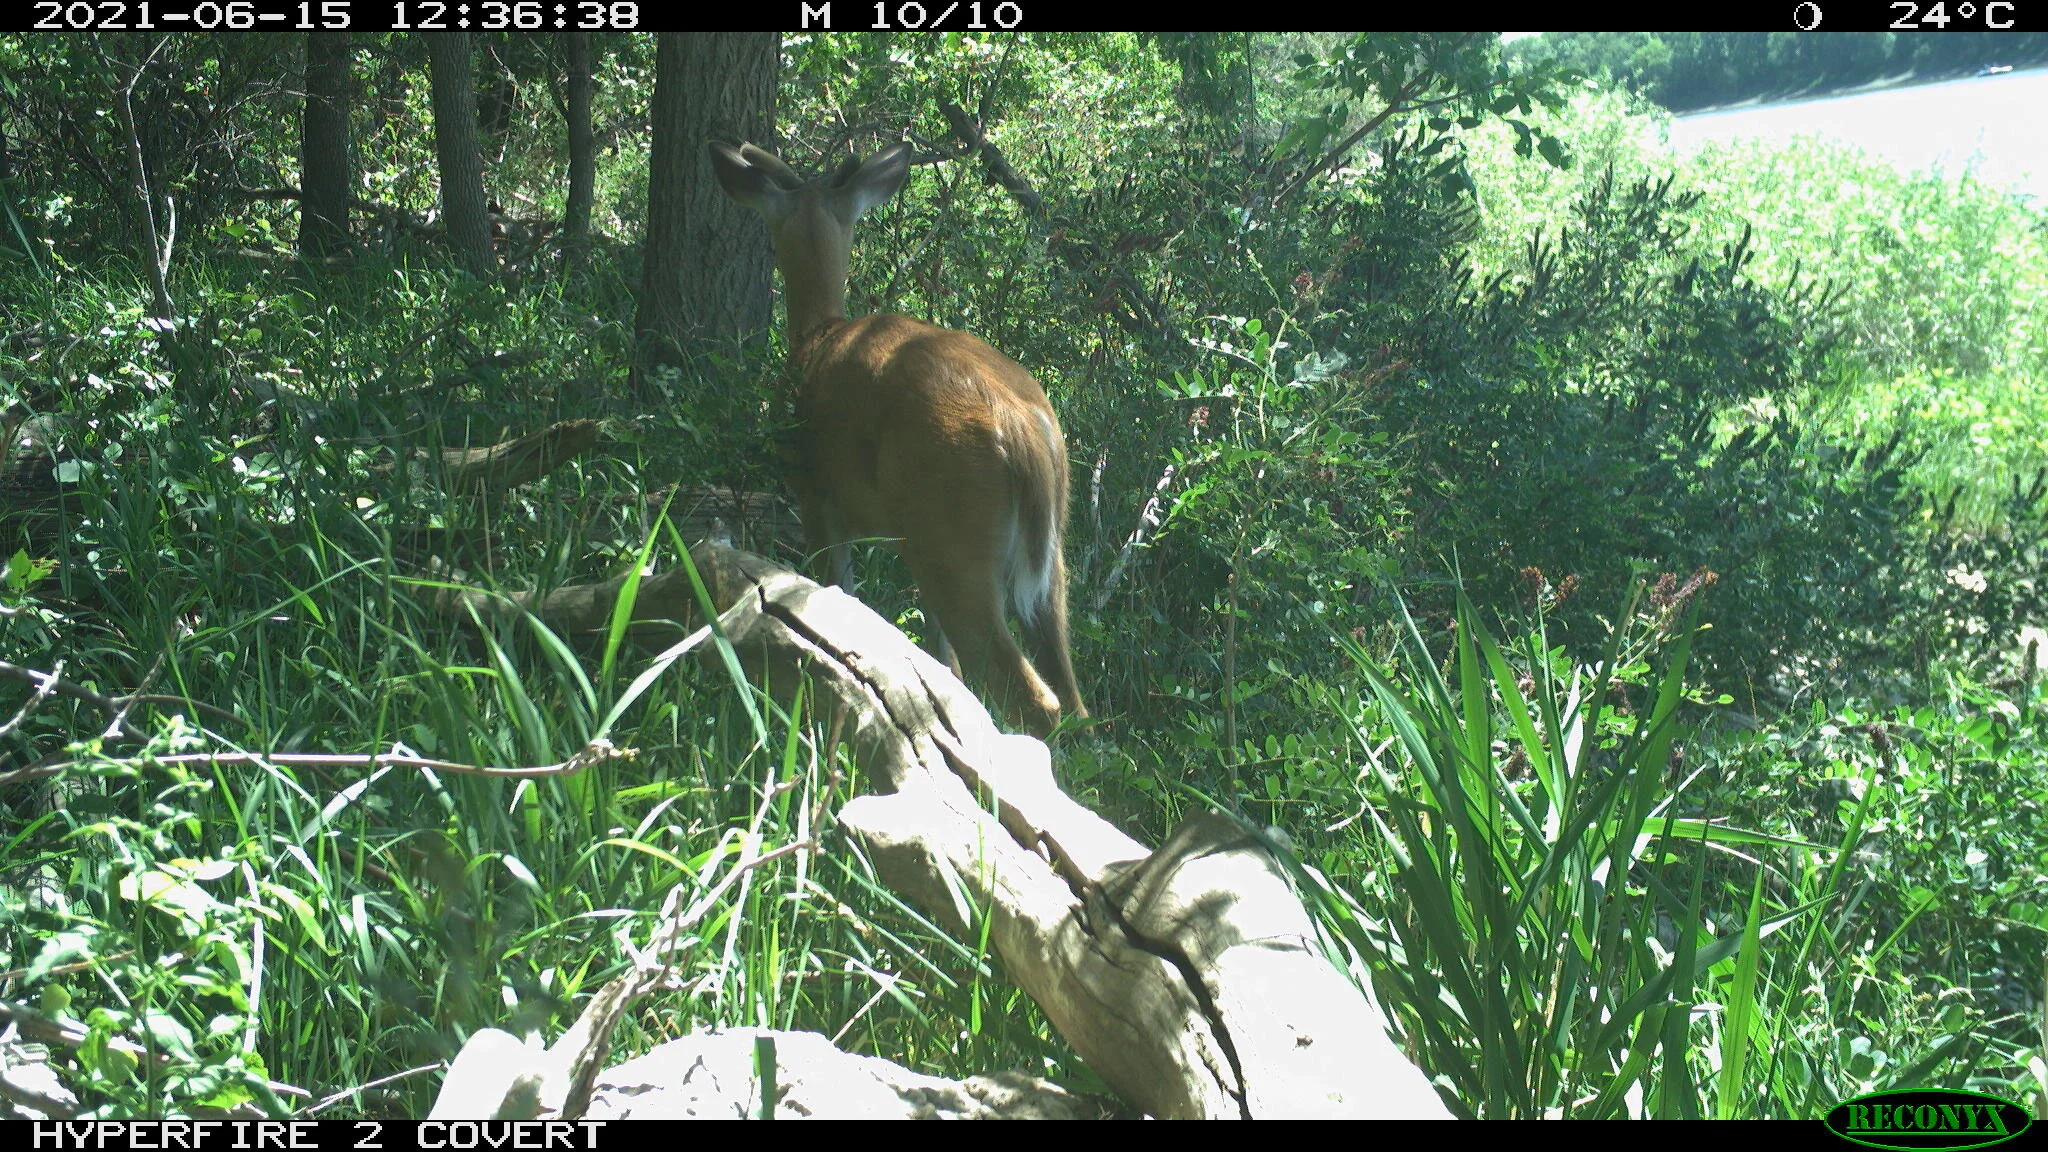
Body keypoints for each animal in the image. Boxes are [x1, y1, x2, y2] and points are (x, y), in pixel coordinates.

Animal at [708, 139, 1086, 738]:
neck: (816, 337)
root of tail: (1021, 424)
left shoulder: (815, 498)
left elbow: (839, 599)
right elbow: (942, 662)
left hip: (950, 536)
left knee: (1028, 693)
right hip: (1046, 555)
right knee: (1072, 698)